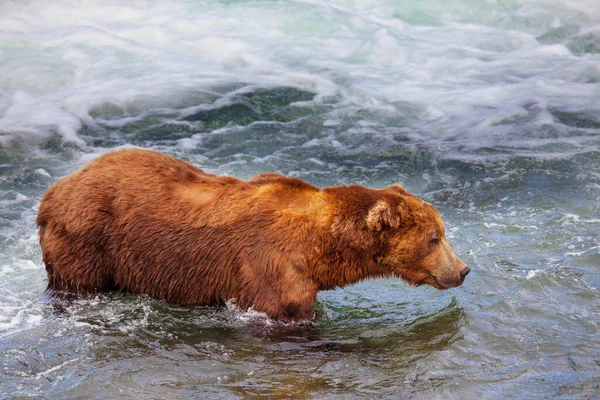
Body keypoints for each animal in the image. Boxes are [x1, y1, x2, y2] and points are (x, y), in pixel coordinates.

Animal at [36, 148, 468, 320]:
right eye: (435, 237)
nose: (463, 270)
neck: (319, 246)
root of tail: (53, 191)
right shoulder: (270, 267)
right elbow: (285, 311)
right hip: (87, 238)